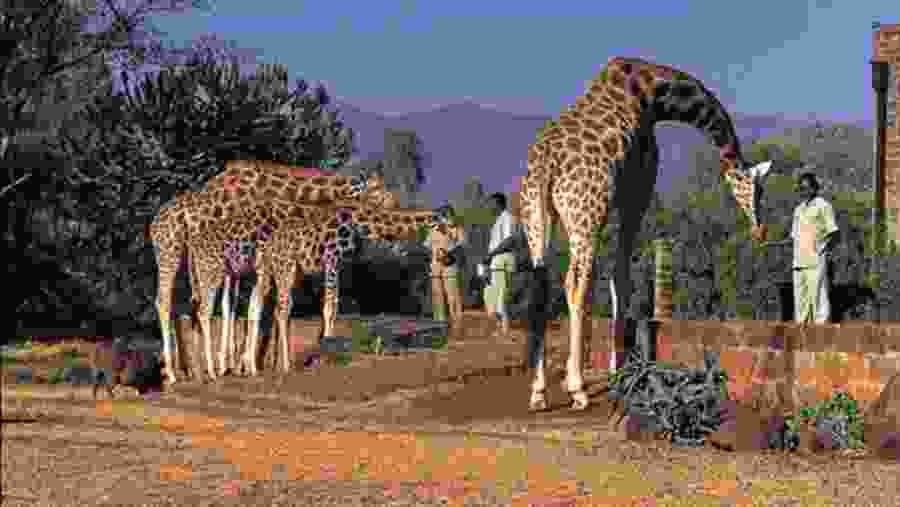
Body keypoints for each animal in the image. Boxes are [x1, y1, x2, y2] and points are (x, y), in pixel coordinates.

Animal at [147, 162, 398, 384]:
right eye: (376, 189)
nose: (394, 204)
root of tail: (153, 226)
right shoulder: (251, 259)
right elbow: (249, 306)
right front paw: (244, 364)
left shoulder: (243, 263)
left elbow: (240, 306)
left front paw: (241, 363)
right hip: (170, 253)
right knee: (165, 301)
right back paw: (174, 373)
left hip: (186, 260)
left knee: (187, 303)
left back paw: (190, 369)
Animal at [249, 204, 454, 373]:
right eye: (447, 229)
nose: (449, 256)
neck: (359, 224)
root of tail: (267, 247)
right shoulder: (331, 258)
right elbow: (330, 308)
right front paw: (327, 356)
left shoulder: (343, 265)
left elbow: (332, 307)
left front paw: (324, 352)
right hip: (286, 267)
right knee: (282, 309)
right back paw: (285, 366)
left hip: (274, 272)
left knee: (264, 306)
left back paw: (260, 367)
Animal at [519, 56, 772, 412]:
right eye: (758, 190)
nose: (760, 230)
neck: (655, 95)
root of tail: (546, 165)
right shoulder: (637, 190)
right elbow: (620, 278)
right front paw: (619, 373)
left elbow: (616, 278)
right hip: (585, 215)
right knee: (575, 283)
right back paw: (578, 389)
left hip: (536, 215)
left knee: (540, 284)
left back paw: (539, 391)